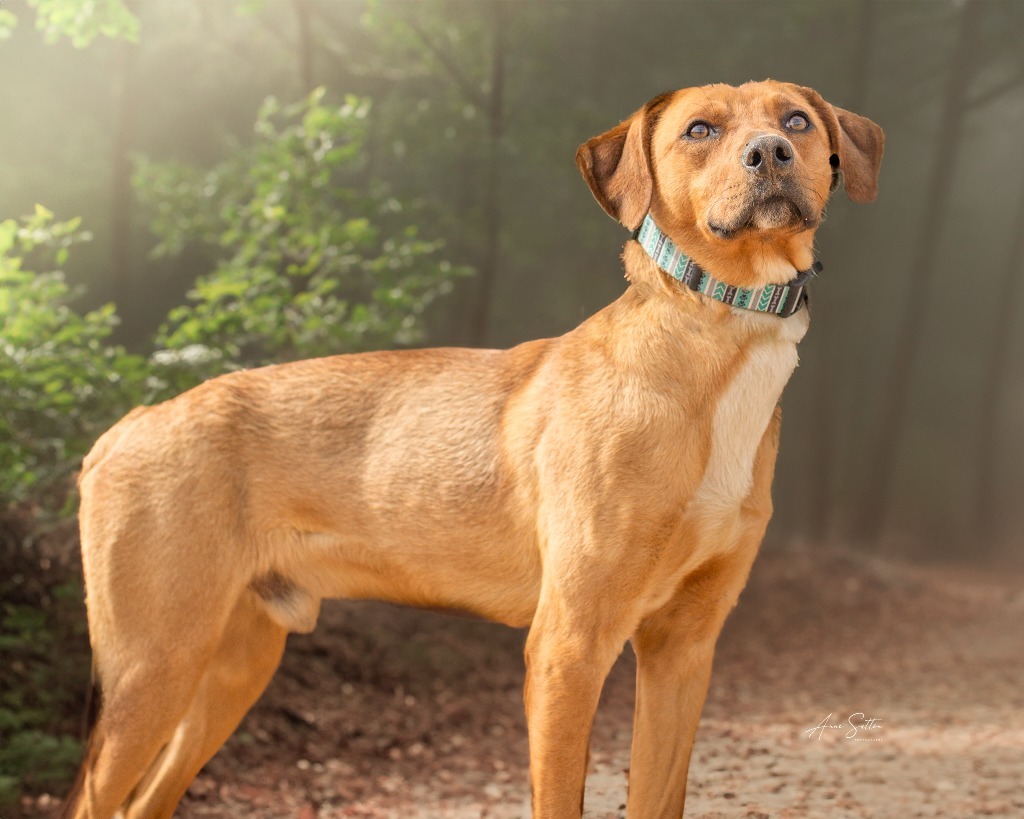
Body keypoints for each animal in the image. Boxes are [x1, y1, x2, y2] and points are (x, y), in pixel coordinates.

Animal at [61, 78, 880, 818]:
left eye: (796, 120)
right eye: (700, 129)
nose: (769, 153)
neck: (719, 340)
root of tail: (131, 423)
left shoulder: (683, 648)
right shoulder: (569, 644)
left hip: (233, 662)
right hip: (152, 665)